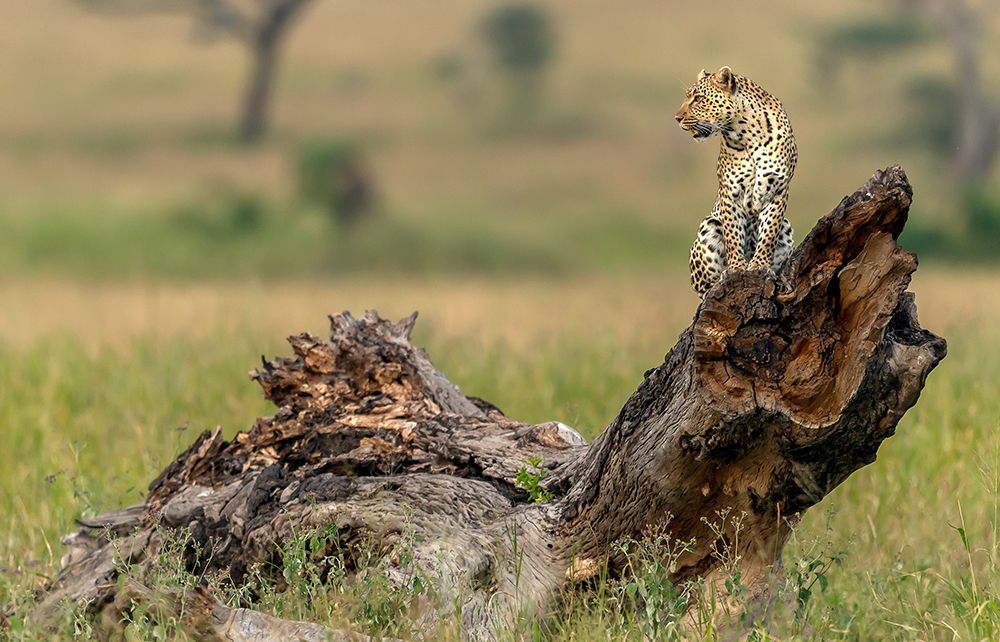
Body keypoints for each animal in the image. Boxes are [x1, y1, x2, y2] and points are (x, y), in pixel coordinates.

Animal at [676, 66, 800, 296]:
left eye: (698, 99)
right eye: (688, 97)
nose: (677, 118)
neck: (748, 134)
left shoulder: (778, 189)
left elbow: (769, 233)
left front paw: (759, 265)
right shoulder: (730, 192)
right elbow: (733, 234)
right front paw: (735, 269)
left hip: (786, 227)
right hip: (708, 225)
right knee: (704, 289)